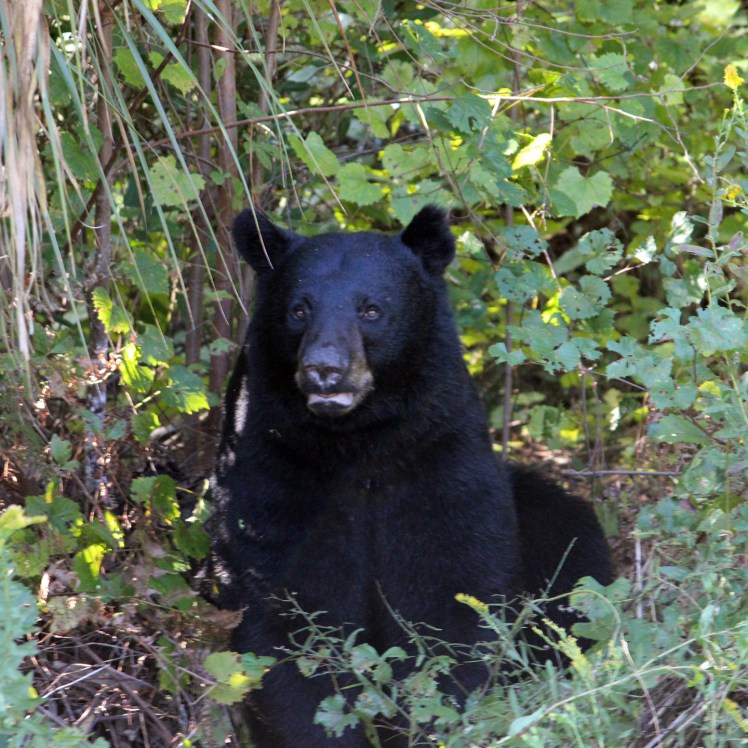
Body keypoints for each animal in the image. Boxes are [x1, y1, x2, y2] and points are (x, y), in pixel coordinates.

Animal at [208, 205, 613, 747]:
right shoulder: (273, 465)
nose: (324, 370)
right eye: (299, 309)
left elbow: (450, 599)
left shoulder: (435, 456)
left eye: (371, 310)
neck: (357, 444)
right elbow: (285, 617)